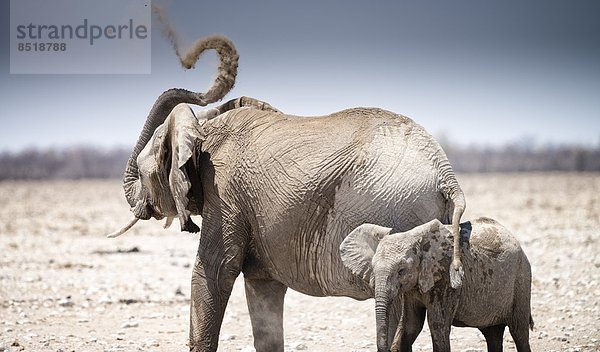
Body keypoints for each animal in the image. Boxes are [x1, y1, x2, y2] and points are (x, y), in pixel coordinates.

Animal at [110, 35, 466, 350]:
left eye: (140, 170)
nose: (191, 60)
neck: (203, 128)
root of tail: (445, 172)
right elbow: (263, 292)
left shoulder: (224, 193)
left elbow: (213, 272)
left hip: (398, 213)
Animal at [340, 217, 532, 352]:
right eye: (372, 268)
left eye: (401, 270)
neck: (414, 236)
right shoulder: (413, 288)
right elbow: (411, 325)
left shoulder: (446, 280)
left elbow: (437, 325)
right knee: (493, 333)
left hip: (522, 278)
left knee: (519, 332)